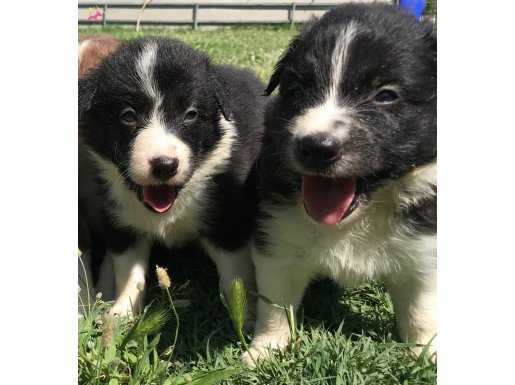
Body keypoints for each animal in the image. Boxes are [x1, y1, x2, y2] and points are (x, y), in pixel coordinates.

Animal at [81, 37, 268, 316]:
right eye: (128, 116)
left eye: (190, 114)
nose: (164, 165)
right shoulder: (123, 221)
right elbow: (129, 273)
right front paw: (122, 313)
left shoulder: (227, 220)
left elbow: (235, 277)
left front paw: (244, 315)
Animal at [245, 3, 436, 364]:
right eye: (297, 90)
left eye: (386, 95)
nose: (316, 147)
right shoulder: (277, 238)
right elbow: (275, 304)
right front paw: (266, 349)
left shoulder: (422, 249)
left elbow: (421, 309)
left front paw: (426, 353)